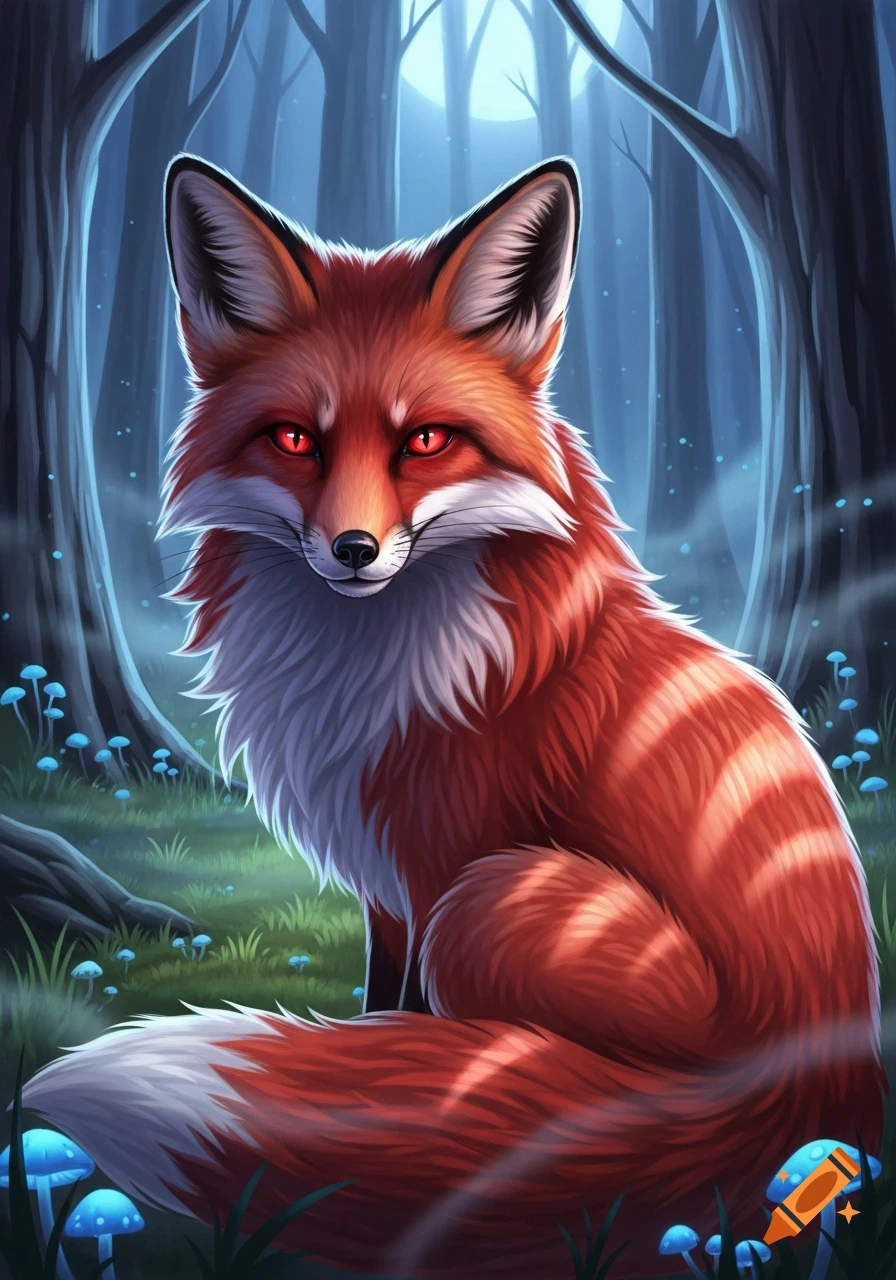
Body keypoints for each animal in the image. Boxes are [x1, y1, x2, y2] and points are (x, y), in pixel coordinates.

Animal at [24, 155, 884, 1278]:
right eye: (295, 439)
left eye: (425, 440)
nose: (351, 549)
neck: (372, 666)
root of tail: (802, 1090)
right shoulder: (390, 884)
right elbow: (382, 1005)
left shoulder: (437, 865)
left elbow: (425, 1042)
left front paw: (394, 1118)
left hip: (497, 898)